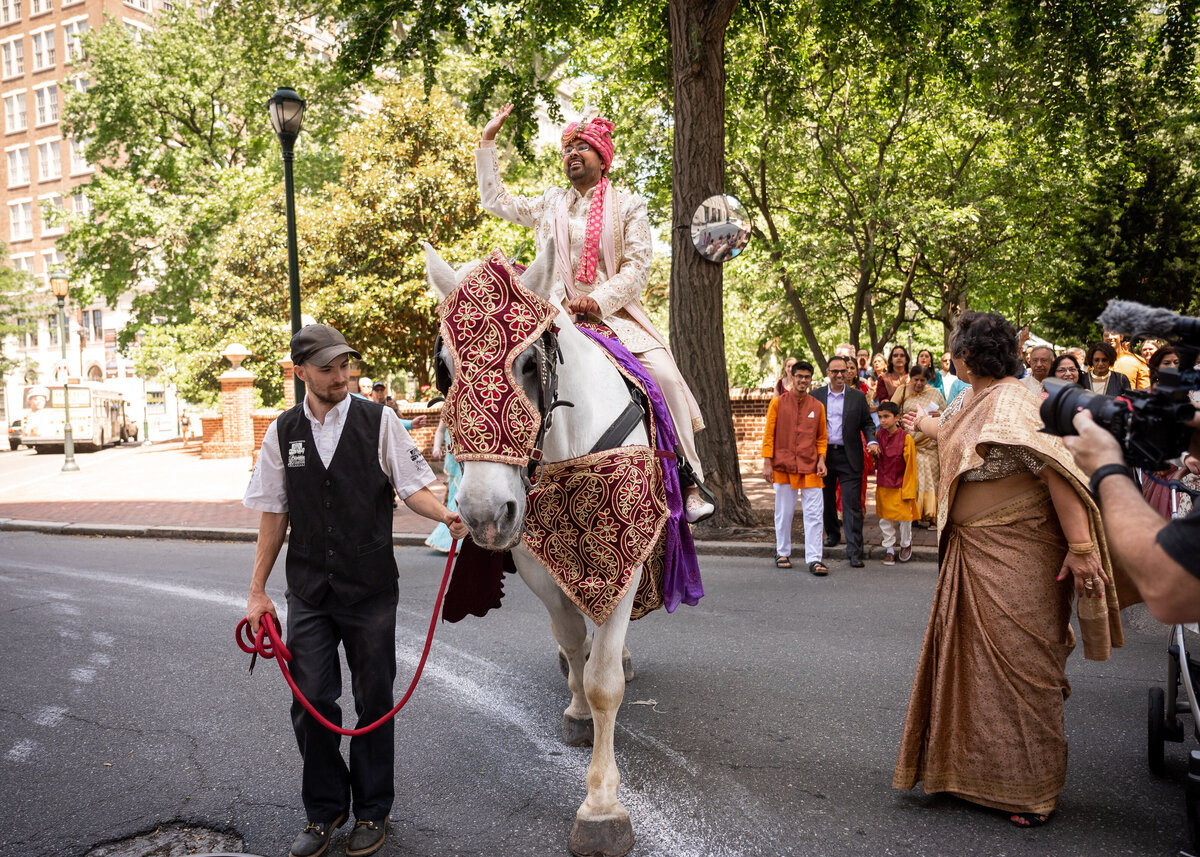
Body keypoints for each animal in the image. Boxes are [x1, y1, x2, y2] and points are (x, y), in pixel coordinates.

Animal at [429, 236, 657, 854]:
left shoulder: (626, 550)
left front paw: (601, 806)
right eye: (444, 369)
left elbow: (605, 681)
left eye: (530, 362)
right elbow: (573, 640)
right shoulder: (536, 562)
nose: (484, 514)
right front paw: (576, 708)